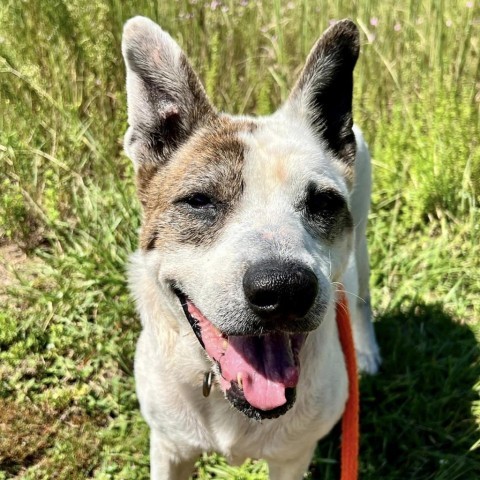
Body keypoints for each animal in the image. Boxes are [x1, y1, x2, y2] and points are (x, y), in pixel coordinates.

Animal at [122, 15, 380, 480]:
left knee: (362, 301)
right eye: (200, 201)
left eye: (324, 203)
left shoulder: (292, 458)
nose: (284, 290)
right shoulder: (170, 447)